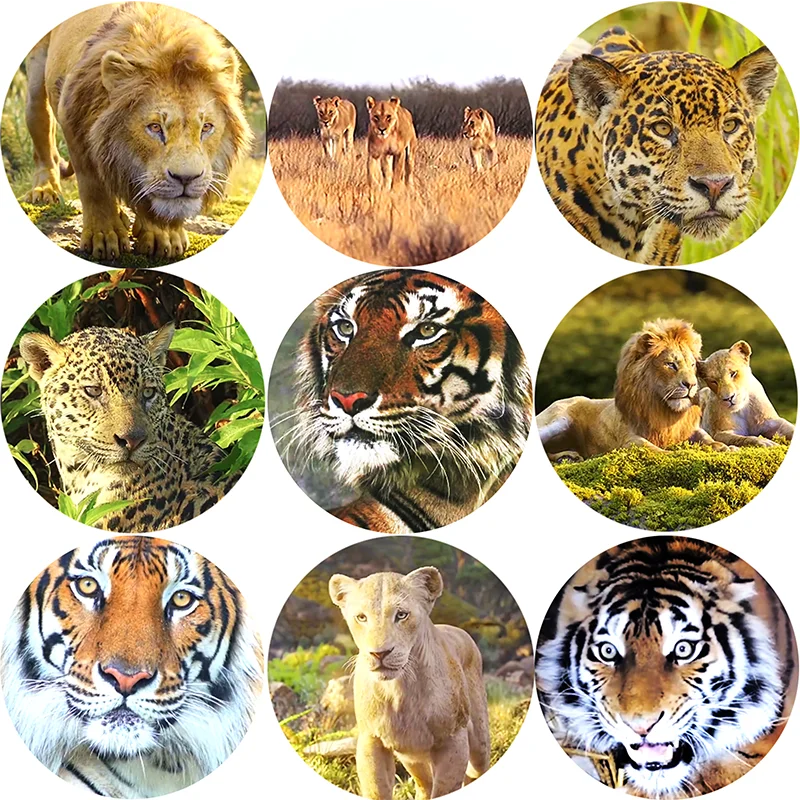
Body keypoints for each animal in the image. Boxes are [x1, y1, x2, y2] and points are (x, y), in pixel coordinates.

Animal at [22, 0, 252, 260]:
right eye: (155, 128)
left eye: (206, 128)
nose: (186, 178)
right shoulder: (73, 117)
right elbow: (93, 185)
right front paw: (104, 236)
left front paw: (164, 235)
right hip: (36, 86)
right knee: (43, 137)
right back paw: (45, 189)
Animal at [329, 567, 491, 799]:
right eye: (361, 617)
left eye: (401, 615)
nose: (380, 653)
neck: (400, 691)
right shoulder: (371, 740)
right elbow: (377, 790)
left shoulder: (453, 740)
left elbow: (444, 789)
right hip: (412, 756)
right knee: (424, 784)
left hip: (478, 741)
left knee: (476, 770)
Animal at [537, 319, 728, 462]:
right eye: (670, 364)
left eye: (693, 364)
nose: (691, 385)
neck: (664, 409)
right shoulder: (628, 438)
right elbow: (649, 446)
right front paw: (671, 454)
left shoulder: (687, 428)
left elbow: (706, 437)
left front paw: (724, 447)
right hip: (558, 421)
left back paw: (568, 456)